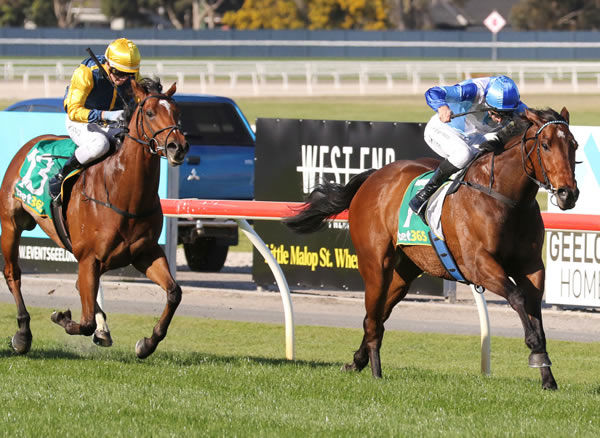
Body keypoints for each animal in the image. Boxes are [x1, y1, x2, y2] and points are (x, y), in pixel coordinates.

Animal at [0, 78, 189, 360]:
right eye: (149, 112)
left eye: (177, 112)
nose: (178, 147)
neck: (123, 194)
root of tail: (30, 144)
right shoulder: (89, 257)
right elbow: (85, 321)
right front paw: (62, 318)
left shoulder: (145, 253)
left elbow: (174, 292)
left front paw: (147, 343)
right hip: (11, 224)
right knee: (13, 273)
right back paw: (23, 333)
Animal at [288, 108, 580, 388]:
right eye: (545, 144)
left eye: (574, 145)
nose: (568, 194)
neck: (505, 198)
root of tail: (375, 176)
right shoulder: (477, 264)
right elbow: (518, 297)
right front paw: (535, 350)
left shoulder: (531, 266)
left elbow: (533, 308)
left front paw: (547, 374)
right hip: (375, 264)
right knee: (372, 315)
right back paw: (375, 371)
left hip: (405, 270)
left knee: (377, 316)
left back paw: (357, 362)